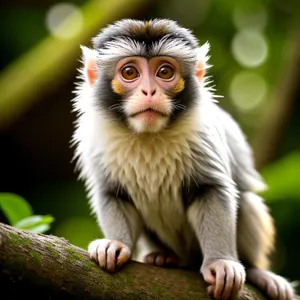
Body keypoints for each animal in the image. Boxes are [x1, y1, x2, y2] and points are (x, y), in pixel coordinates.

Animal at [71, 19, 296, 300]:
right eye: (130, 73)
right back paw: (165, 257)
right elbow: (112, 193)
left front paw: (220, 263)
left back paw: (256, 272)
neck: (150, 135)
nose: (149, 91)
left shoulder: (203, 135)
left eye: (165, 72)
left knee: (247, 200)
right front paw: (116, 243)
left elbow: (212, 189)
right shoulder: (96, 141)